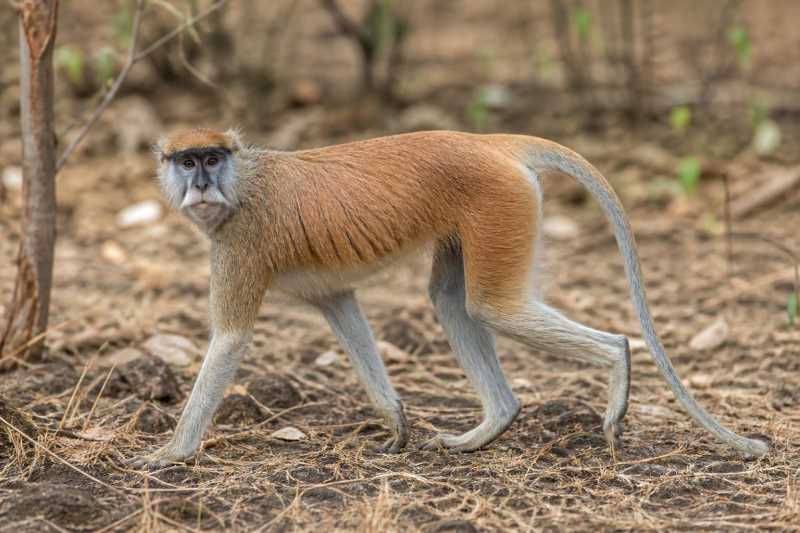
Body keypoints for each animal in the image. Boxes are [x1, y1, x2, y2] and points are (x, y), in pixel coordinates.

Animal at [130, 127, 768, 468]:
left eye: (212, 158)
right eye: (186, 161)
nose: (201, 182)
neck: (244, 181)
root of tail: (489, 142)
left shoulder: (240, 242)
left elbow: (230, 339)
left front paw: (170, 453)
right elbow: (341, 306)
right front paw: (395, 423)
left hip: (500, 203)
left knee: (491, 307)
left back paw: (617, 364)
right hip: (486, 213)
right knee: (451, 302)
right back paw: (494, 422)